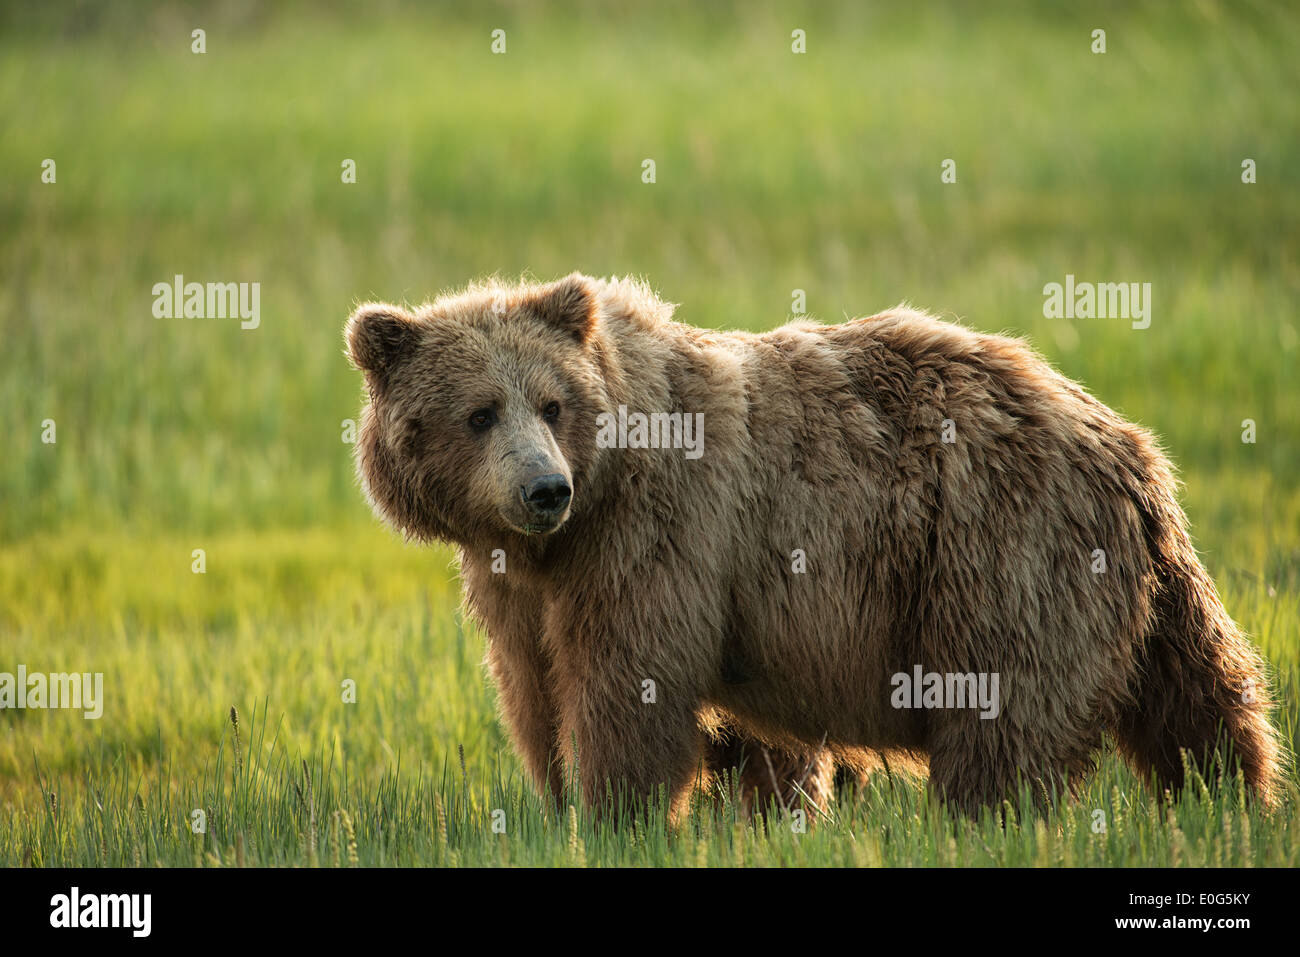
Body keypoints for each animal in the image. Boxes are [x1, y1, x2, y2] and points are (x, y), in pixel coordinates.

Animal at [343, 270, 1279, 821]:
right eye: (478, 412)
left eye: (550, 402)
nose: (544, 489)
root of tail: (1127, 442)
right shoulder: (520, 582)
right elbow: (535, 691)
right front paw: (566, 801)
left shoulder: (661, 537)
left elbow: (629, 683)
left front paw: (622, 811)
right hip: (1137, 576)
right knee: (1197, 695)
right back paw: (1231, 798)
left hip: (1001, 546)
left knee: (1003, 708)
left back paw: (983, 816)